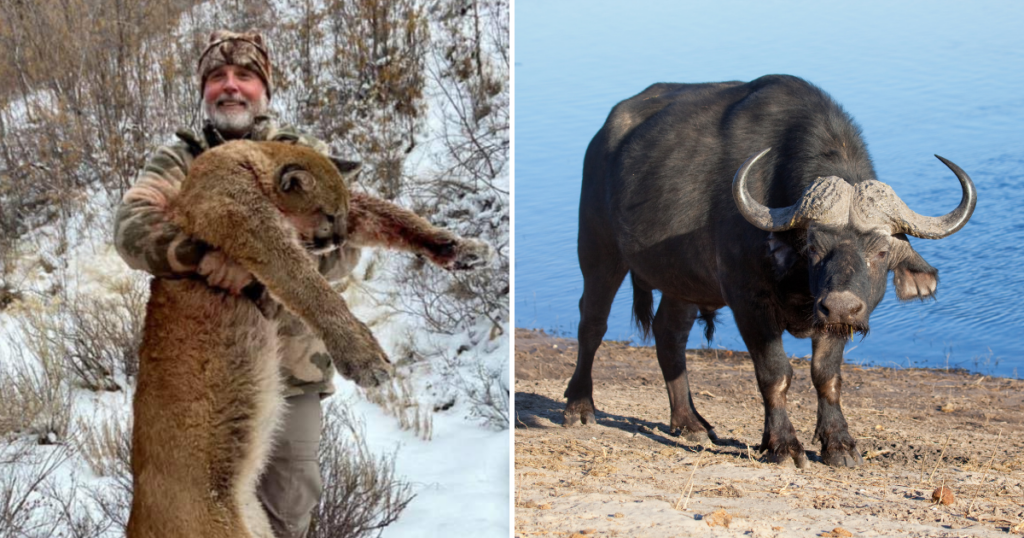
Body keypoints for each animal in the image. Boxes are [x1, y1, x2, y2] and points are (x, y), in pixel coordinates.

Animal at [565, 74, 976, 468]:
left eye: (881, 250)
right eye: (812, 246)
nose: (841, 306)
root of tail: (604, 137)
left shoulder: (831, 320)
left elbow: (826, 376)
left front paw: (839, 444)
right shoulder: (748, 302)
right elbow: (776, 375)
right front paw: (783, 445)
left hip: (682, 282)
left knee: (669, 335)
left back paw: (690, 423)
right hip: (598, 249)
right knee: (592, 323)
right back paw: (579, 407)